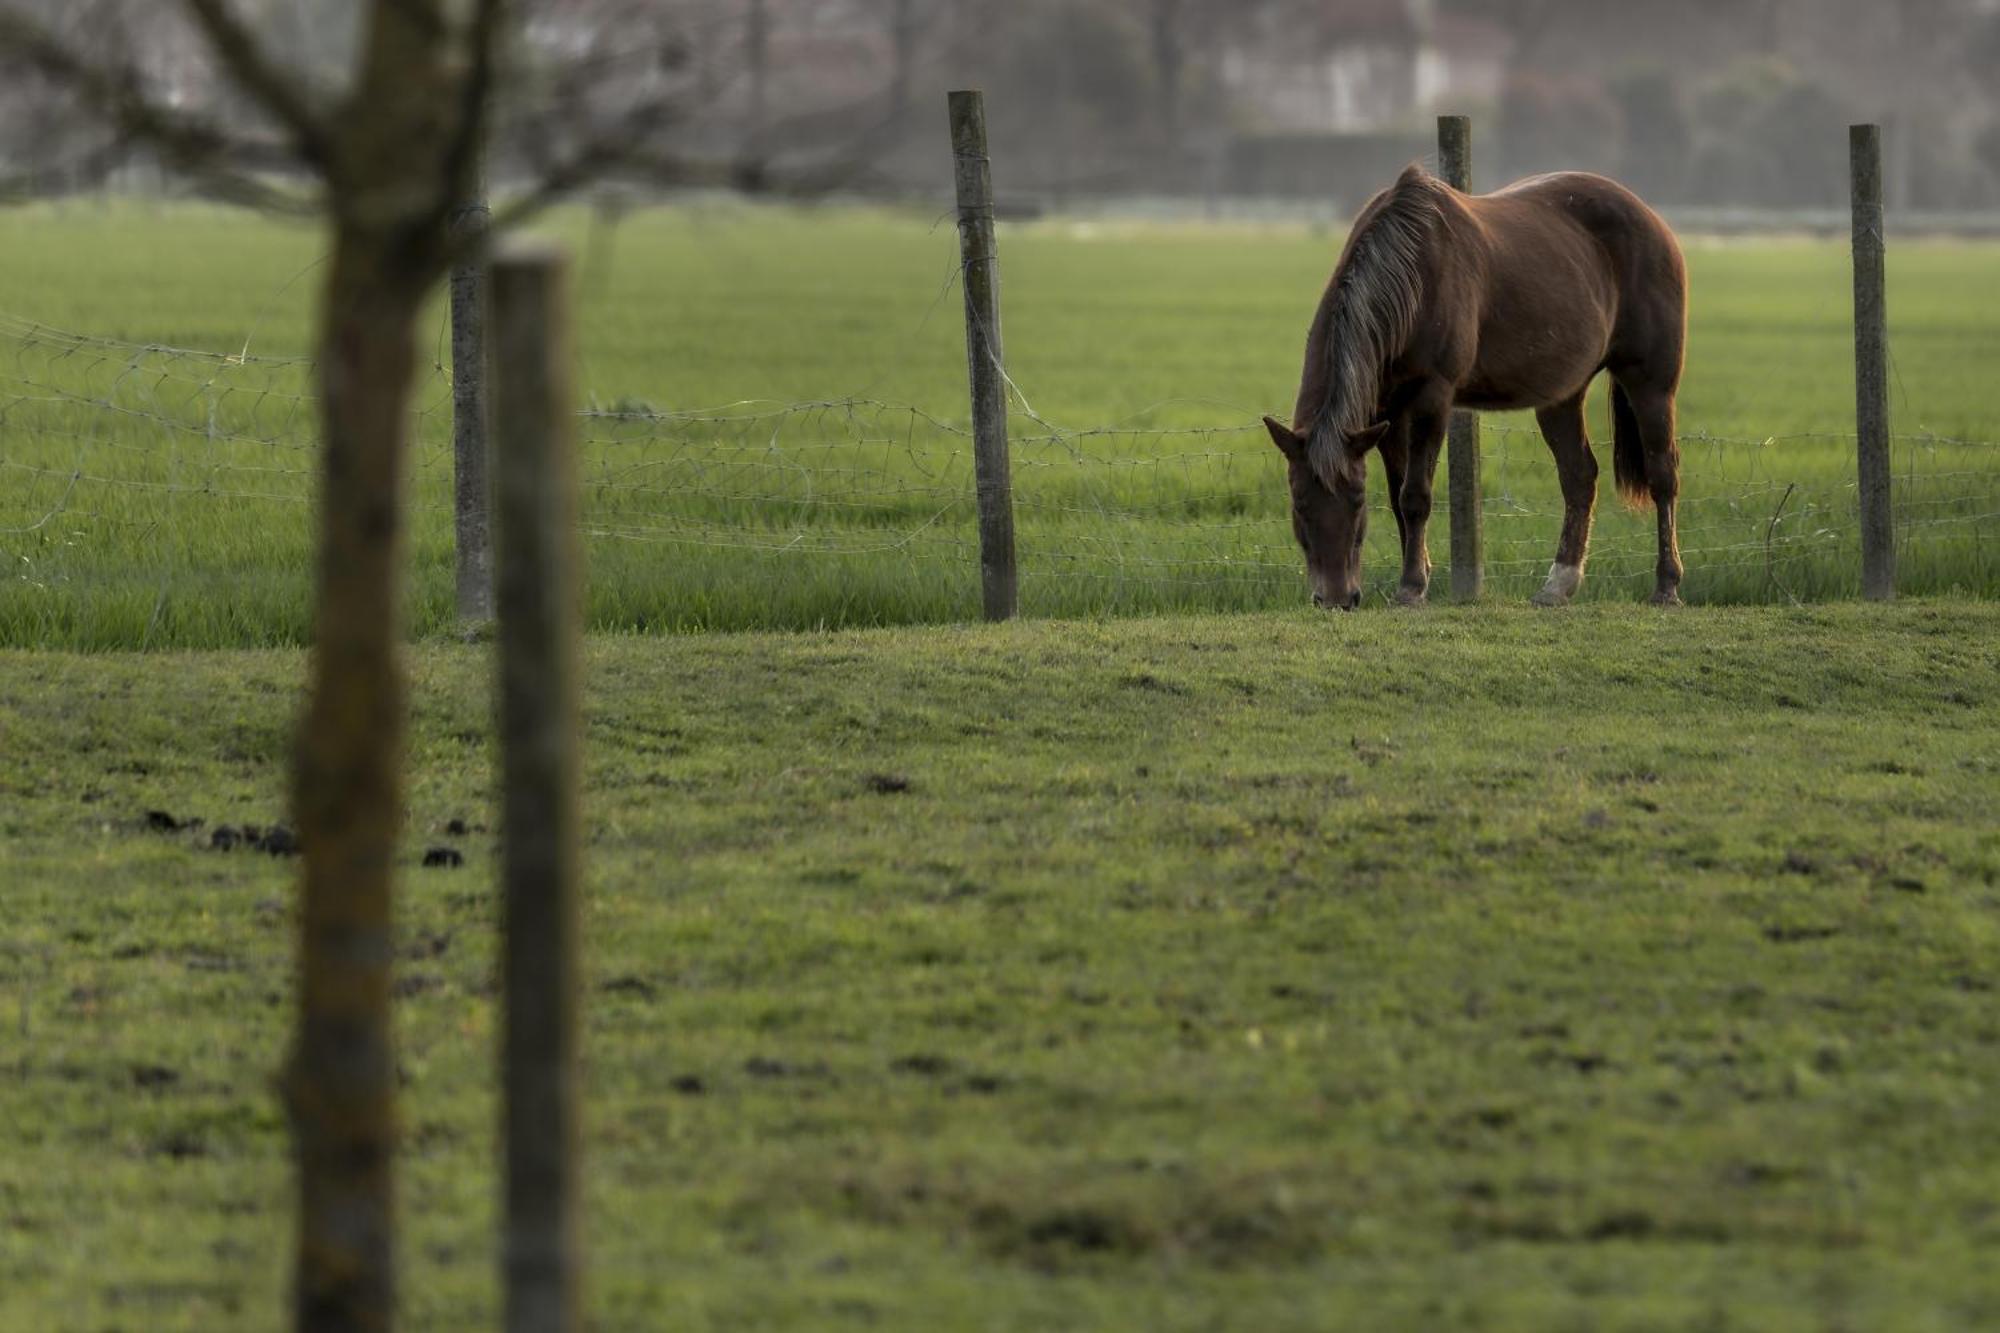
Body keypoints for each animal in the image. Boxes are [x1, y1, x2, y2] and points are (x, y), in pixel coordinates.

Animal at [1264, 160, 1688, 608]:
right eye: (1298, 502)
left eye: (1358, 498)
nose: (1337, 598)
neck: (1412, 274)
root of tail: (1652, 219)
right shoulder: (1385, 415)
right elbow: (1397, 496)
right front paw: (1417, 573)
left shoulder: (1433, 397)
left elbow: (1415, 496)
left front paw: (1412, 586)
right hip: (1561, 395)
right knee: (1578, 477)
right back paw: (1558, 585)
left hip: (1651, 383)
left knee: (1662, 475)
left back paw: (1666, 585)